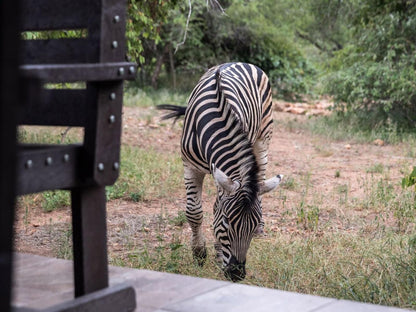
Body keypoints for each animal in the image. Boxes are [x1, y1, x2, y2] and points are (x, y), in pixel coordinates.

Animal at [158, 62, 282, 282]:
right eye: (226, 221)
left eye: (251, 226)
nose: (237, 274)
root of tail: (241, 62)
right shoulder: (190, 166)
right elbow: (194, 212)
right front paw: (199, 253)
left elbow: (216, 207)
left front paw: (216, 254)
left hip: (263, 139)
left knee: (260, 179)